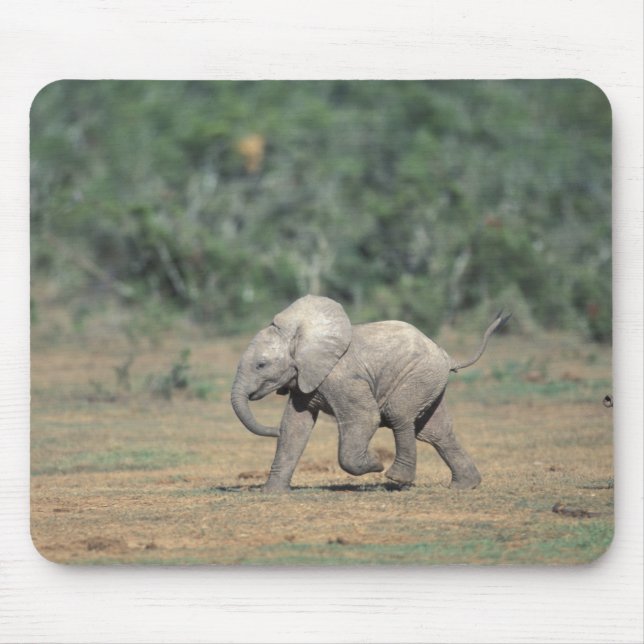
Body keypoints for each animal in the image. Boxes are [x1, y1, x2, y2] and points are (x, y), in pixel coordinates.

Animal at [230, 295, 510, 493]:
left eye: (261, 365)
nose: (272, 430)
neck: (301, 335)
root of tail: (446, 355)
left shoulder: (341, 377)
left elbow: (365, 418)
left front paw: (375, 463)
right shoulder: (305, 379)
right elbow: (294, 426)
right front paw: (272, 493)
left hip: (418, 375)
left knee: (400, 416)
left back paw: (395, 478)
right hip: (430, 382)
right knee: (435, 432)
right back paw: (464, 486)